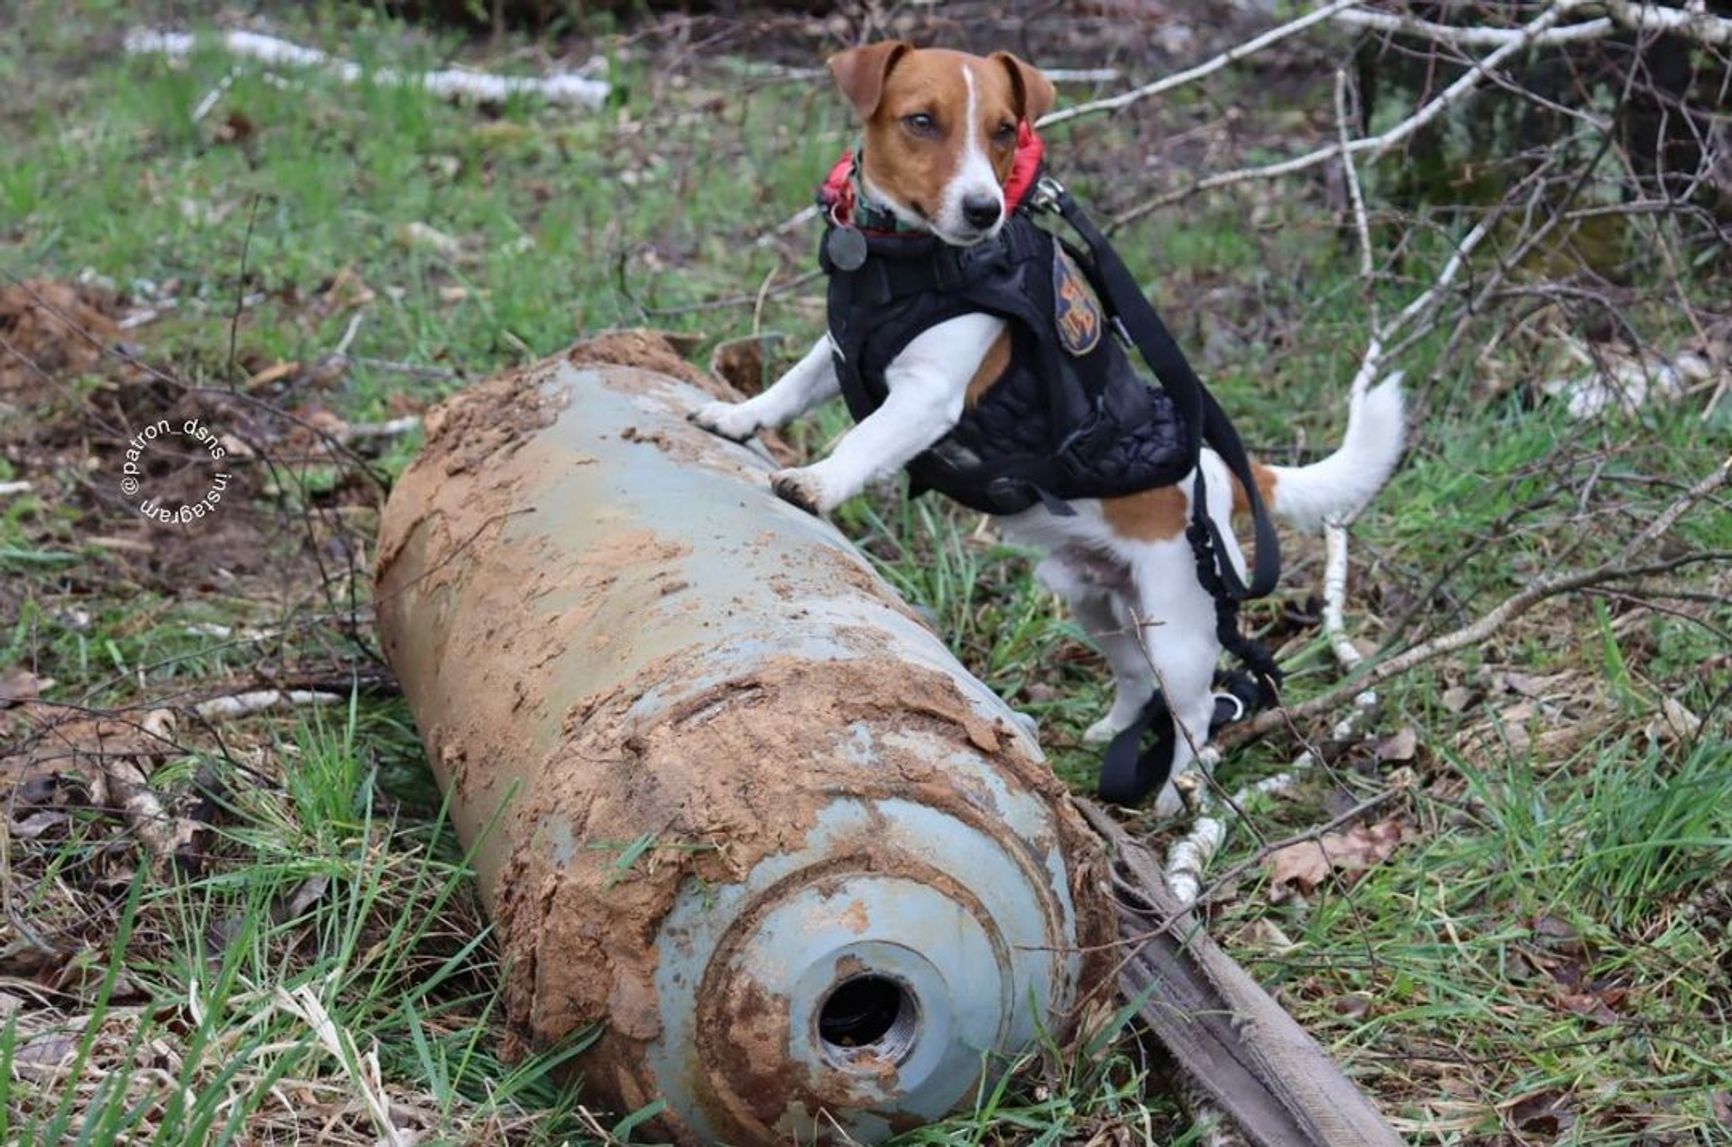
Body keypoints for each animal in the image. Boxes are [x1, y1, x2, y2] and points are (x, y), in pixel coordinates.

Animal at [692, 42, 1406, 817]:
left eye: (1004, 130)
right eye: (921, 121)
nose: (983, 209)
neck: (900, 259)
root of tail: (1222, 475)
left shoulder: (927, 397)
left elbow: (861, 441)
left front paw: (817, 483)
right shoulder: (843, 350)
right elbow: (789, 387)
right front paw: (734, 416)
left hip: (1180, 627)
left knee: (1194, 712)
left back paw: (1176, 795)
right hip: (1100, 604)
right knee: (1136, 679)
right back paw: (1110, 734)